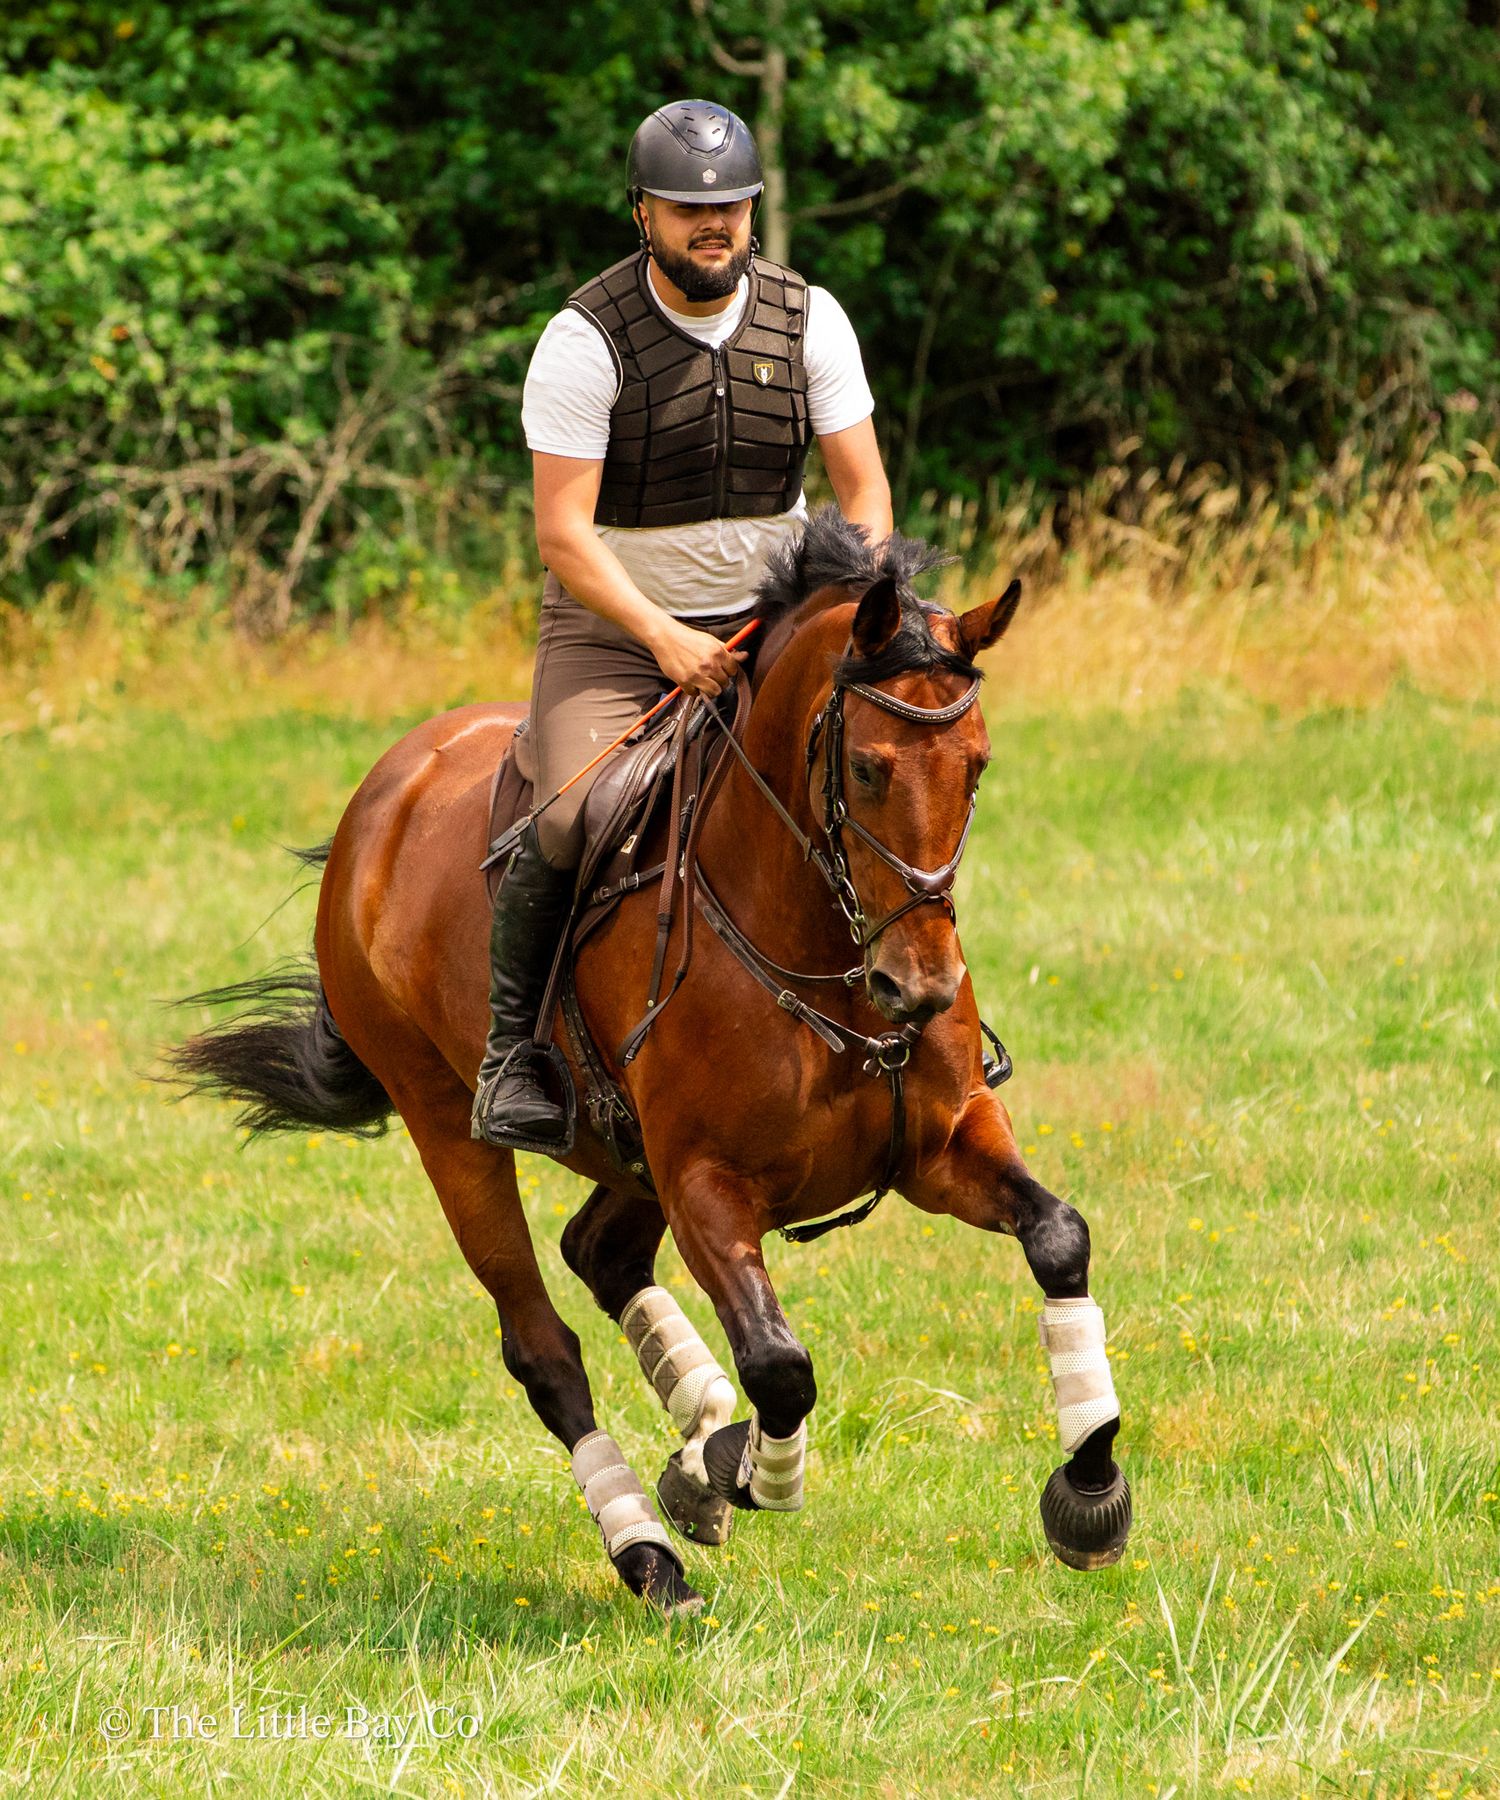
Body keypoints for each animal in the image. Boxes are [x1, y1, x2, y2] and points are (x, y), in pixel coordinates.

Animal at [172, 511, 1131, 1615]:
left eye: (976, 765)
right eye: (867, 770)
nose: (920, 989)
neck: (823, 949)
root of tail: (387, 787)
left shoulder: (939, 1146)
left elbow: (1058, 1236)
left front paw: (1092, 1487)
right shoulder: (707, 1180)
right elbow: (780, 1366)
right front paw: (743, 1472)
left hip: (625, 1152)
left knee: (601, 1251)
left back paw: (697, 1437)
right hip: (451, 1125)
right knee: (545, 1350)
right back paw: (648, 1553)